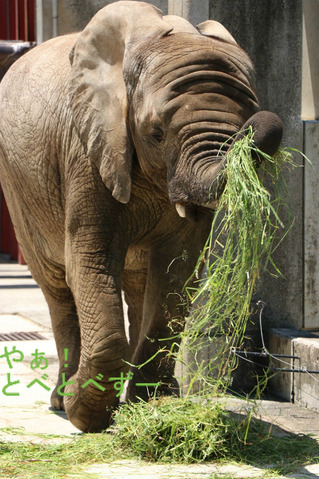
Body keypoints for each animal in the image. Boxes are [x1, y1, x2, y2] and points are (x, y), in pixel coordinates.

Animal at [0, 0, 282, 436]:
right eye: (156, 133)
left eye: (244, 120)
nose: (262, 124)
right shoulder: (87, 148)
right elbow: (90, 260)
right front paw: (88, 415)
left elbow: (175, 274)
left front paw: (151, 406)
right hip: (19, 190)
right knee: (57, 286)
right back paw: (61, 401)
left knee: (136, 285)